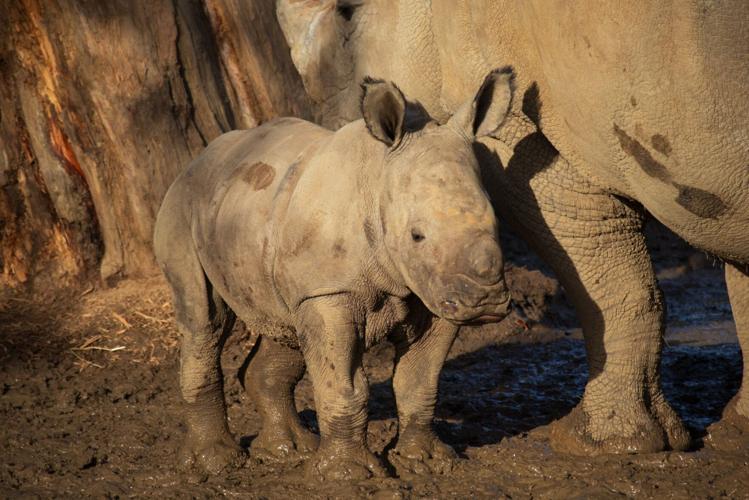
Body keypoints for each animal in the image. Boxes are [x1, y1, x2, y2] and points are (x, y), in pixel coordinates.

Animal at [153, 70, 514, 479]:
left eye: (496, 224)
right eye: (417, 235)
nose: (485, 302)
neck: (378, 180)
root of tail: (199, 157)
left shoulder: (430, 290)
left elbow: (420, 380)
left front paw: (425, 461)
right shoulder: (330, 290)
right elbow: (343, 385)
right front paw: (348, 475)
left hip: (261, 216)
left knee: (284, 324)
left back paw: (288, 452)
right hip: (182, 205)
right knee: (204, 320)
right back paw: (216, 463)